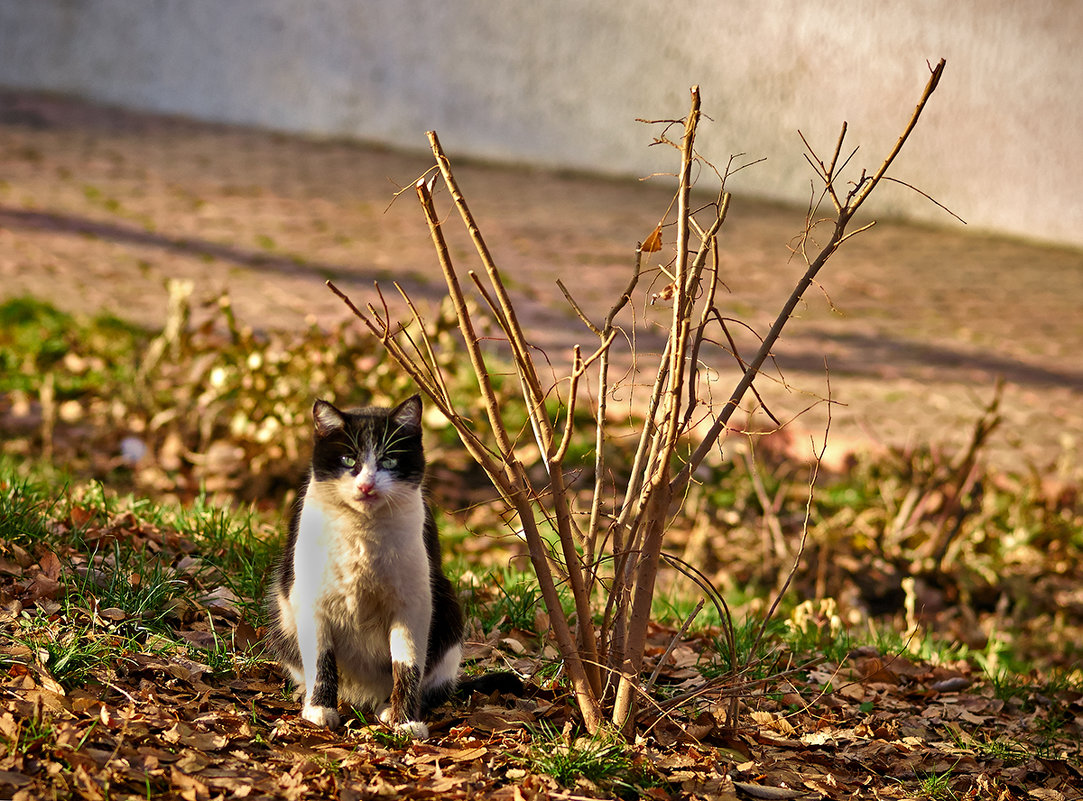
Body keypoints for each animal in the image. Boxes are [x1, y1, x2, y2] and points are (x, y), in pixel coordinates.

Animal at [264, 394, 472, 740]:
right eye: (348, 460)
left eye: (389, 461)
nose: (366, 484)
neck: (363, 531)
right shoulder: (310, 602)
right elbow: (321, 661)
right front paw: (319, 710)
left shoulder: (414, 604)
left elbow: (407, 666)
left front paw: (405, 721)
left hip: (449, 608)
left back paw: (387, 708)